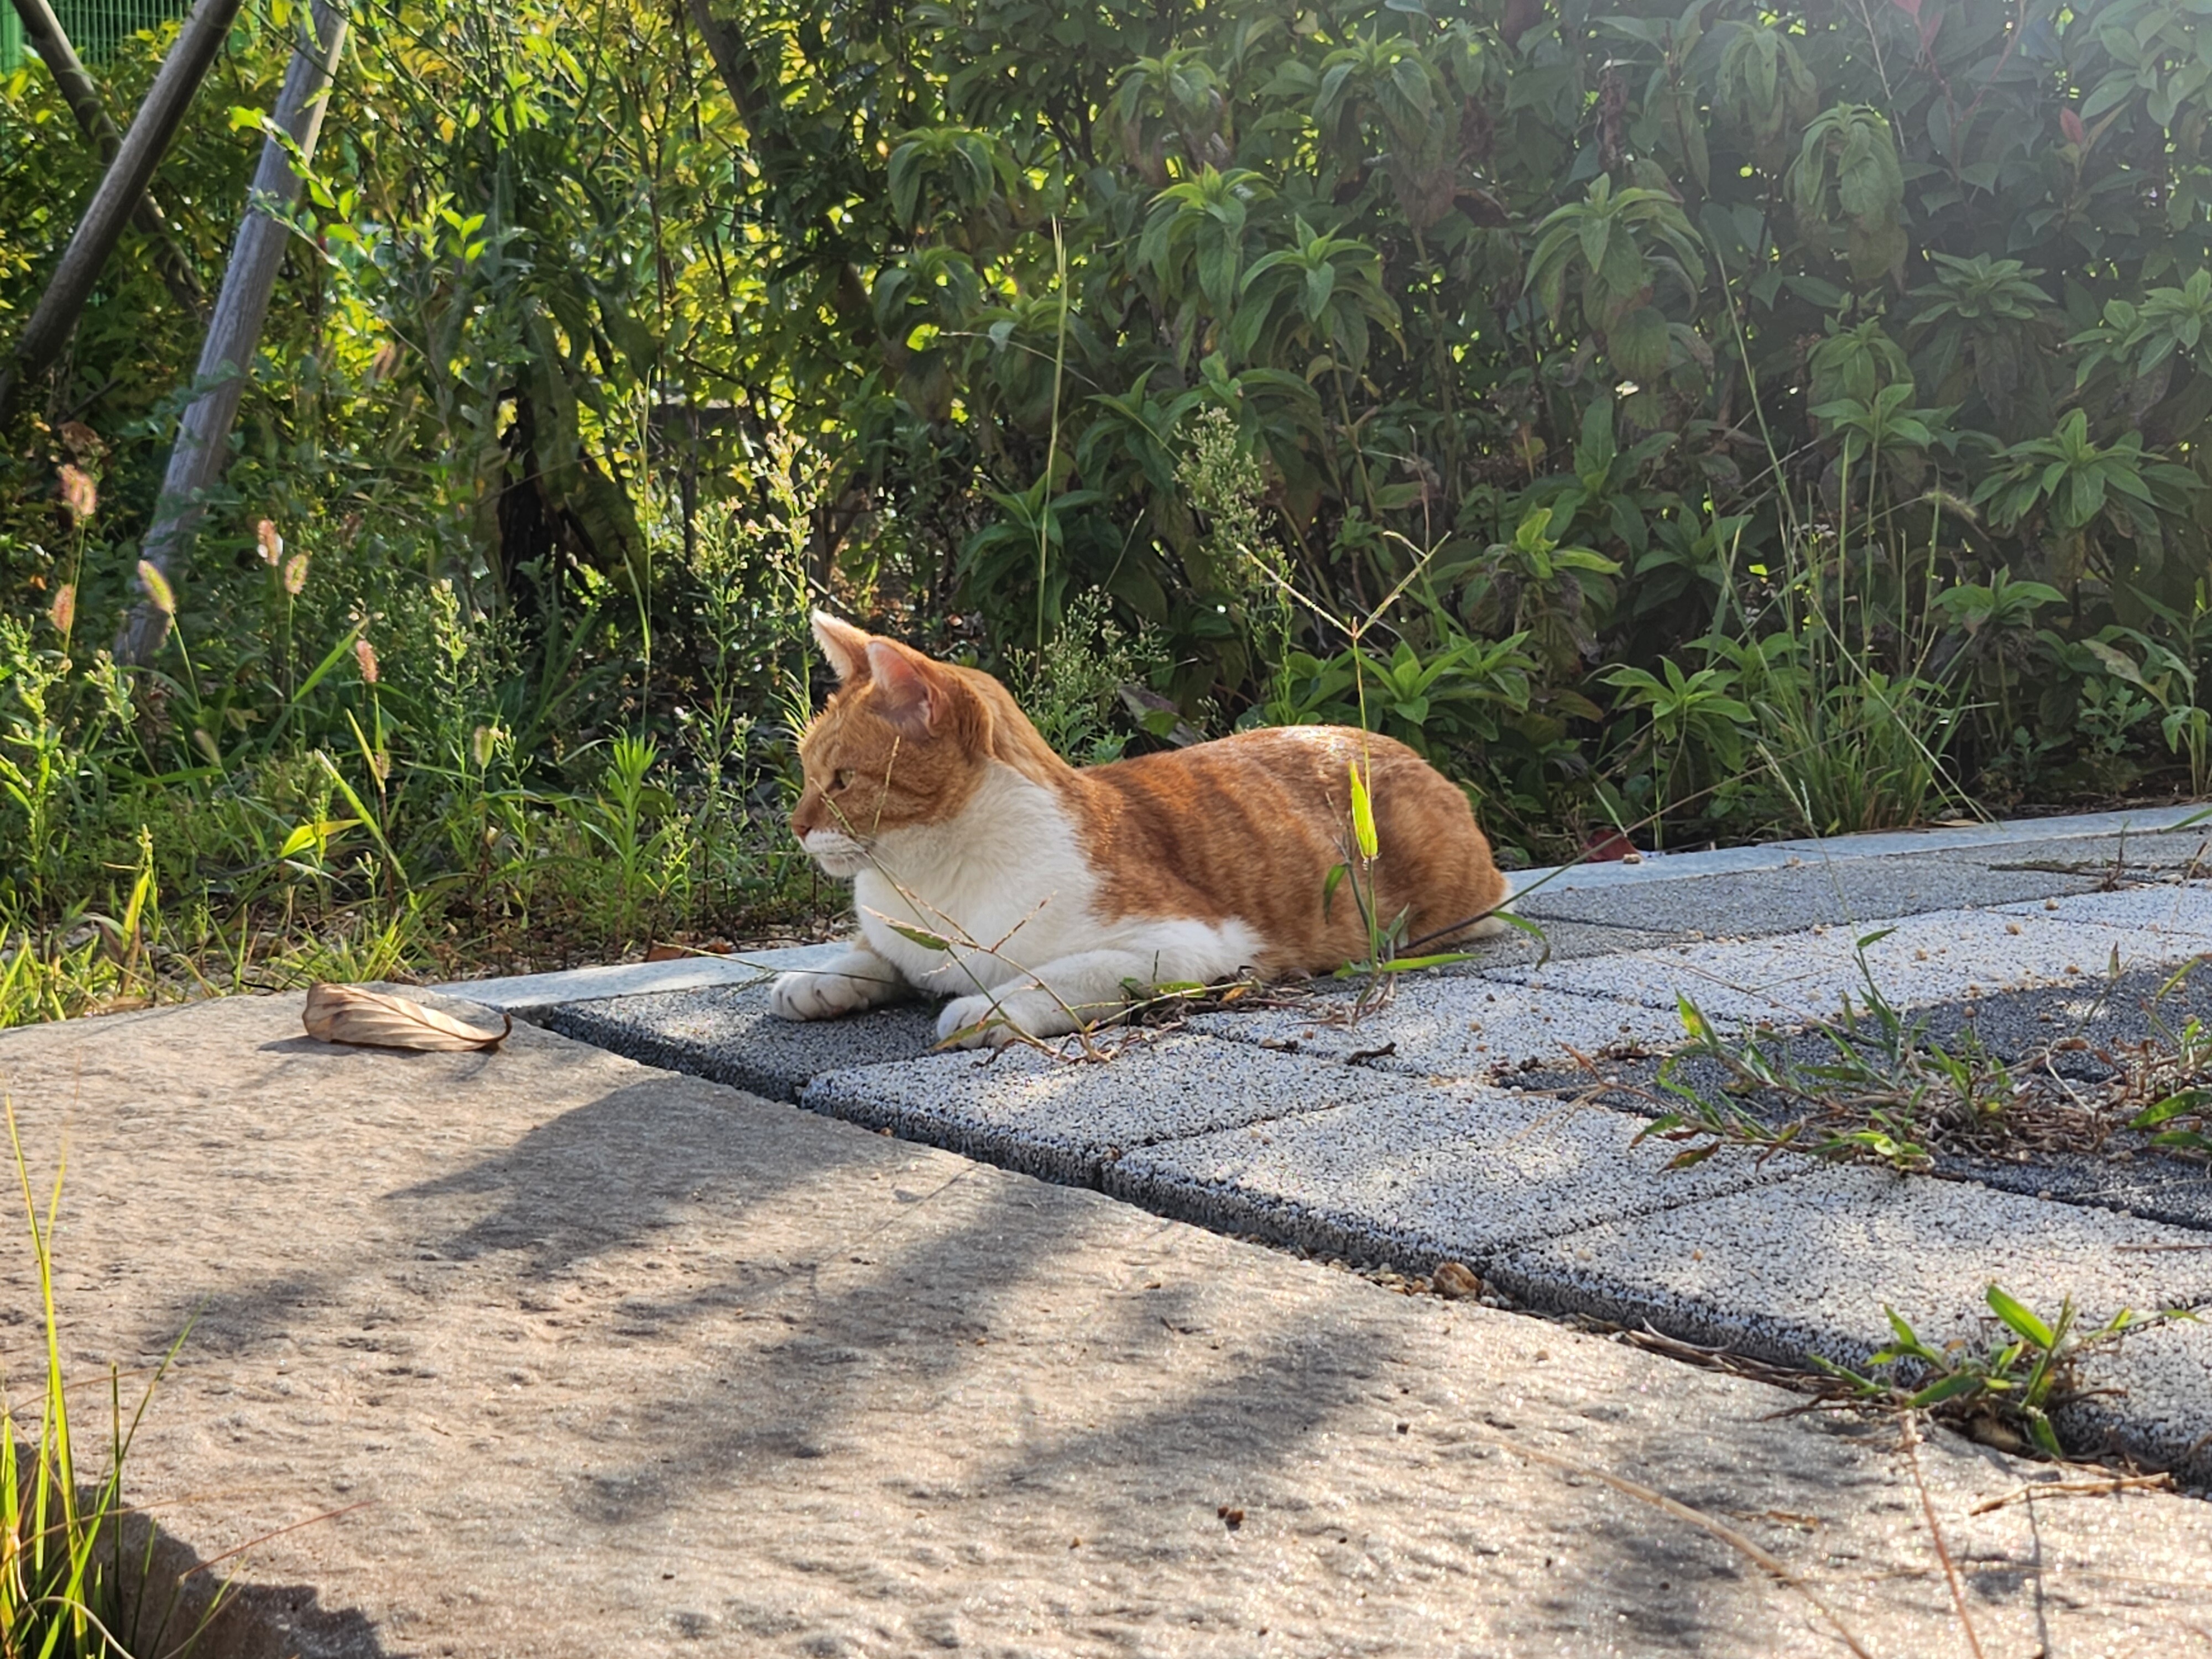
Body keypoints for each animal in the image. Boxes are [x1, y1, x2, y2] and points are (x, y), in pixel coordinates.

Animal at [769, 610, 1510, 1046]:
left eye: (842, 781)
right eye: (806, 772)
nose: (796, 826)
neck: (929, 881)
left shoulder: (1183, 947)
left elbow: (1050, 978)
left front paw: (984, 1009)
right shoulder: (902, 943)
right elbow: (873, 955)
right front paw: (817, 977)